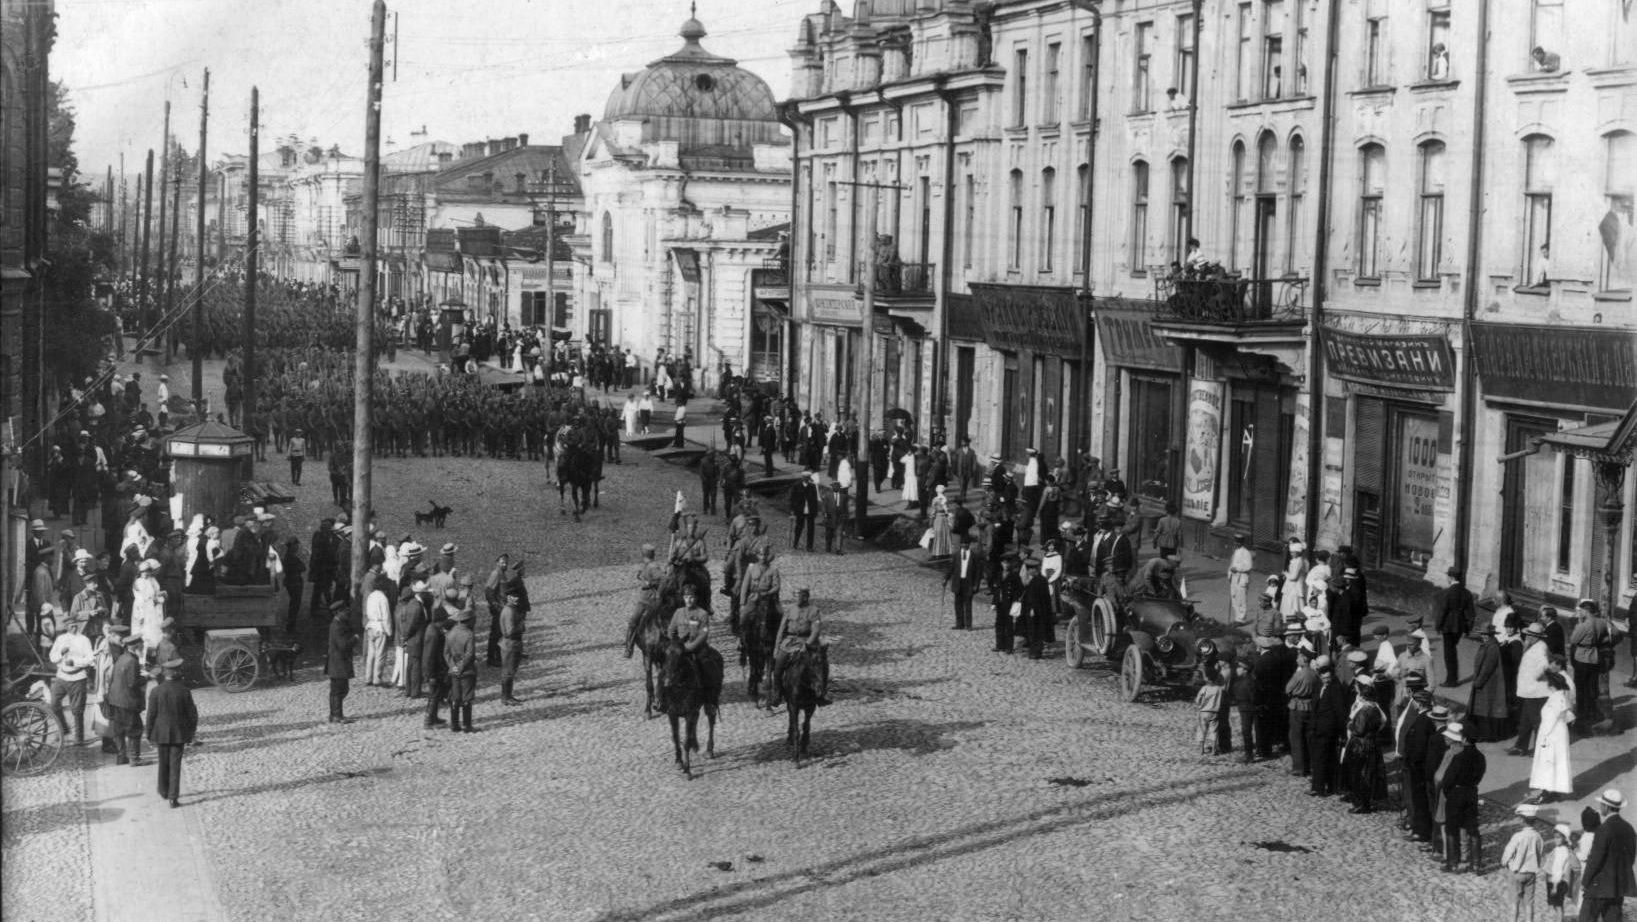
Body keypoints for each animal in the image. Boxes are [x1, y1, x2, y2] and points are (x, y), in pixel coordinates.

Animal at [658, 635, 723, 779]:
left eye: (681, 655)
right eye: (665, 653)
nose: (667, 682)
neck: (678, 690)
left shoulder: (689, 713)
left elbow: (686, 740)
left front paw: (688, 770)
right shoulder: (672, 714)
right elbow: (675, 737)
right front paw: (678, 761)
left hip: (711, 700)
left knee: (711, 719)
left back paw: (709, 750)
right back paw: (695, 745)